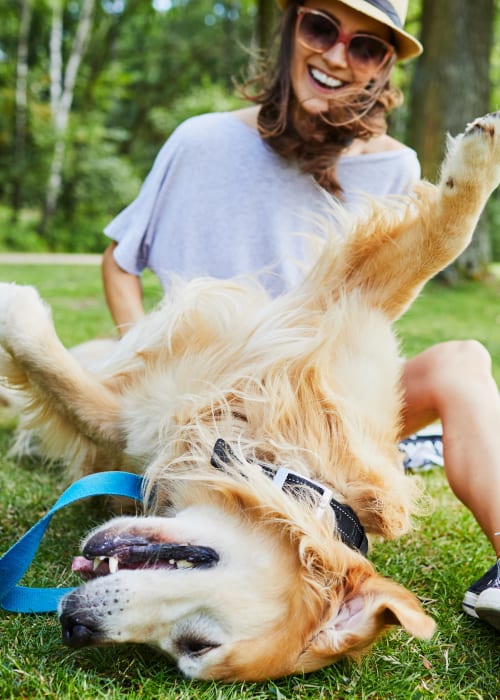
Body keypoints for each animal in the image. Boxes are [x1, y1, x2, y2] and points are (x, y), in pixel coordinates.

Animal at [2, 113, 500, 680]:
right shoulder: (342, 310)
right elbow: (440, 243)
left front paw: (16, 309)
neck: (269, 453)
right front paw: (480, 160)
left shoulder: (128, 425)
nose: (74, 626)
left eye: (193, 645)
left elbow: (69, 391)